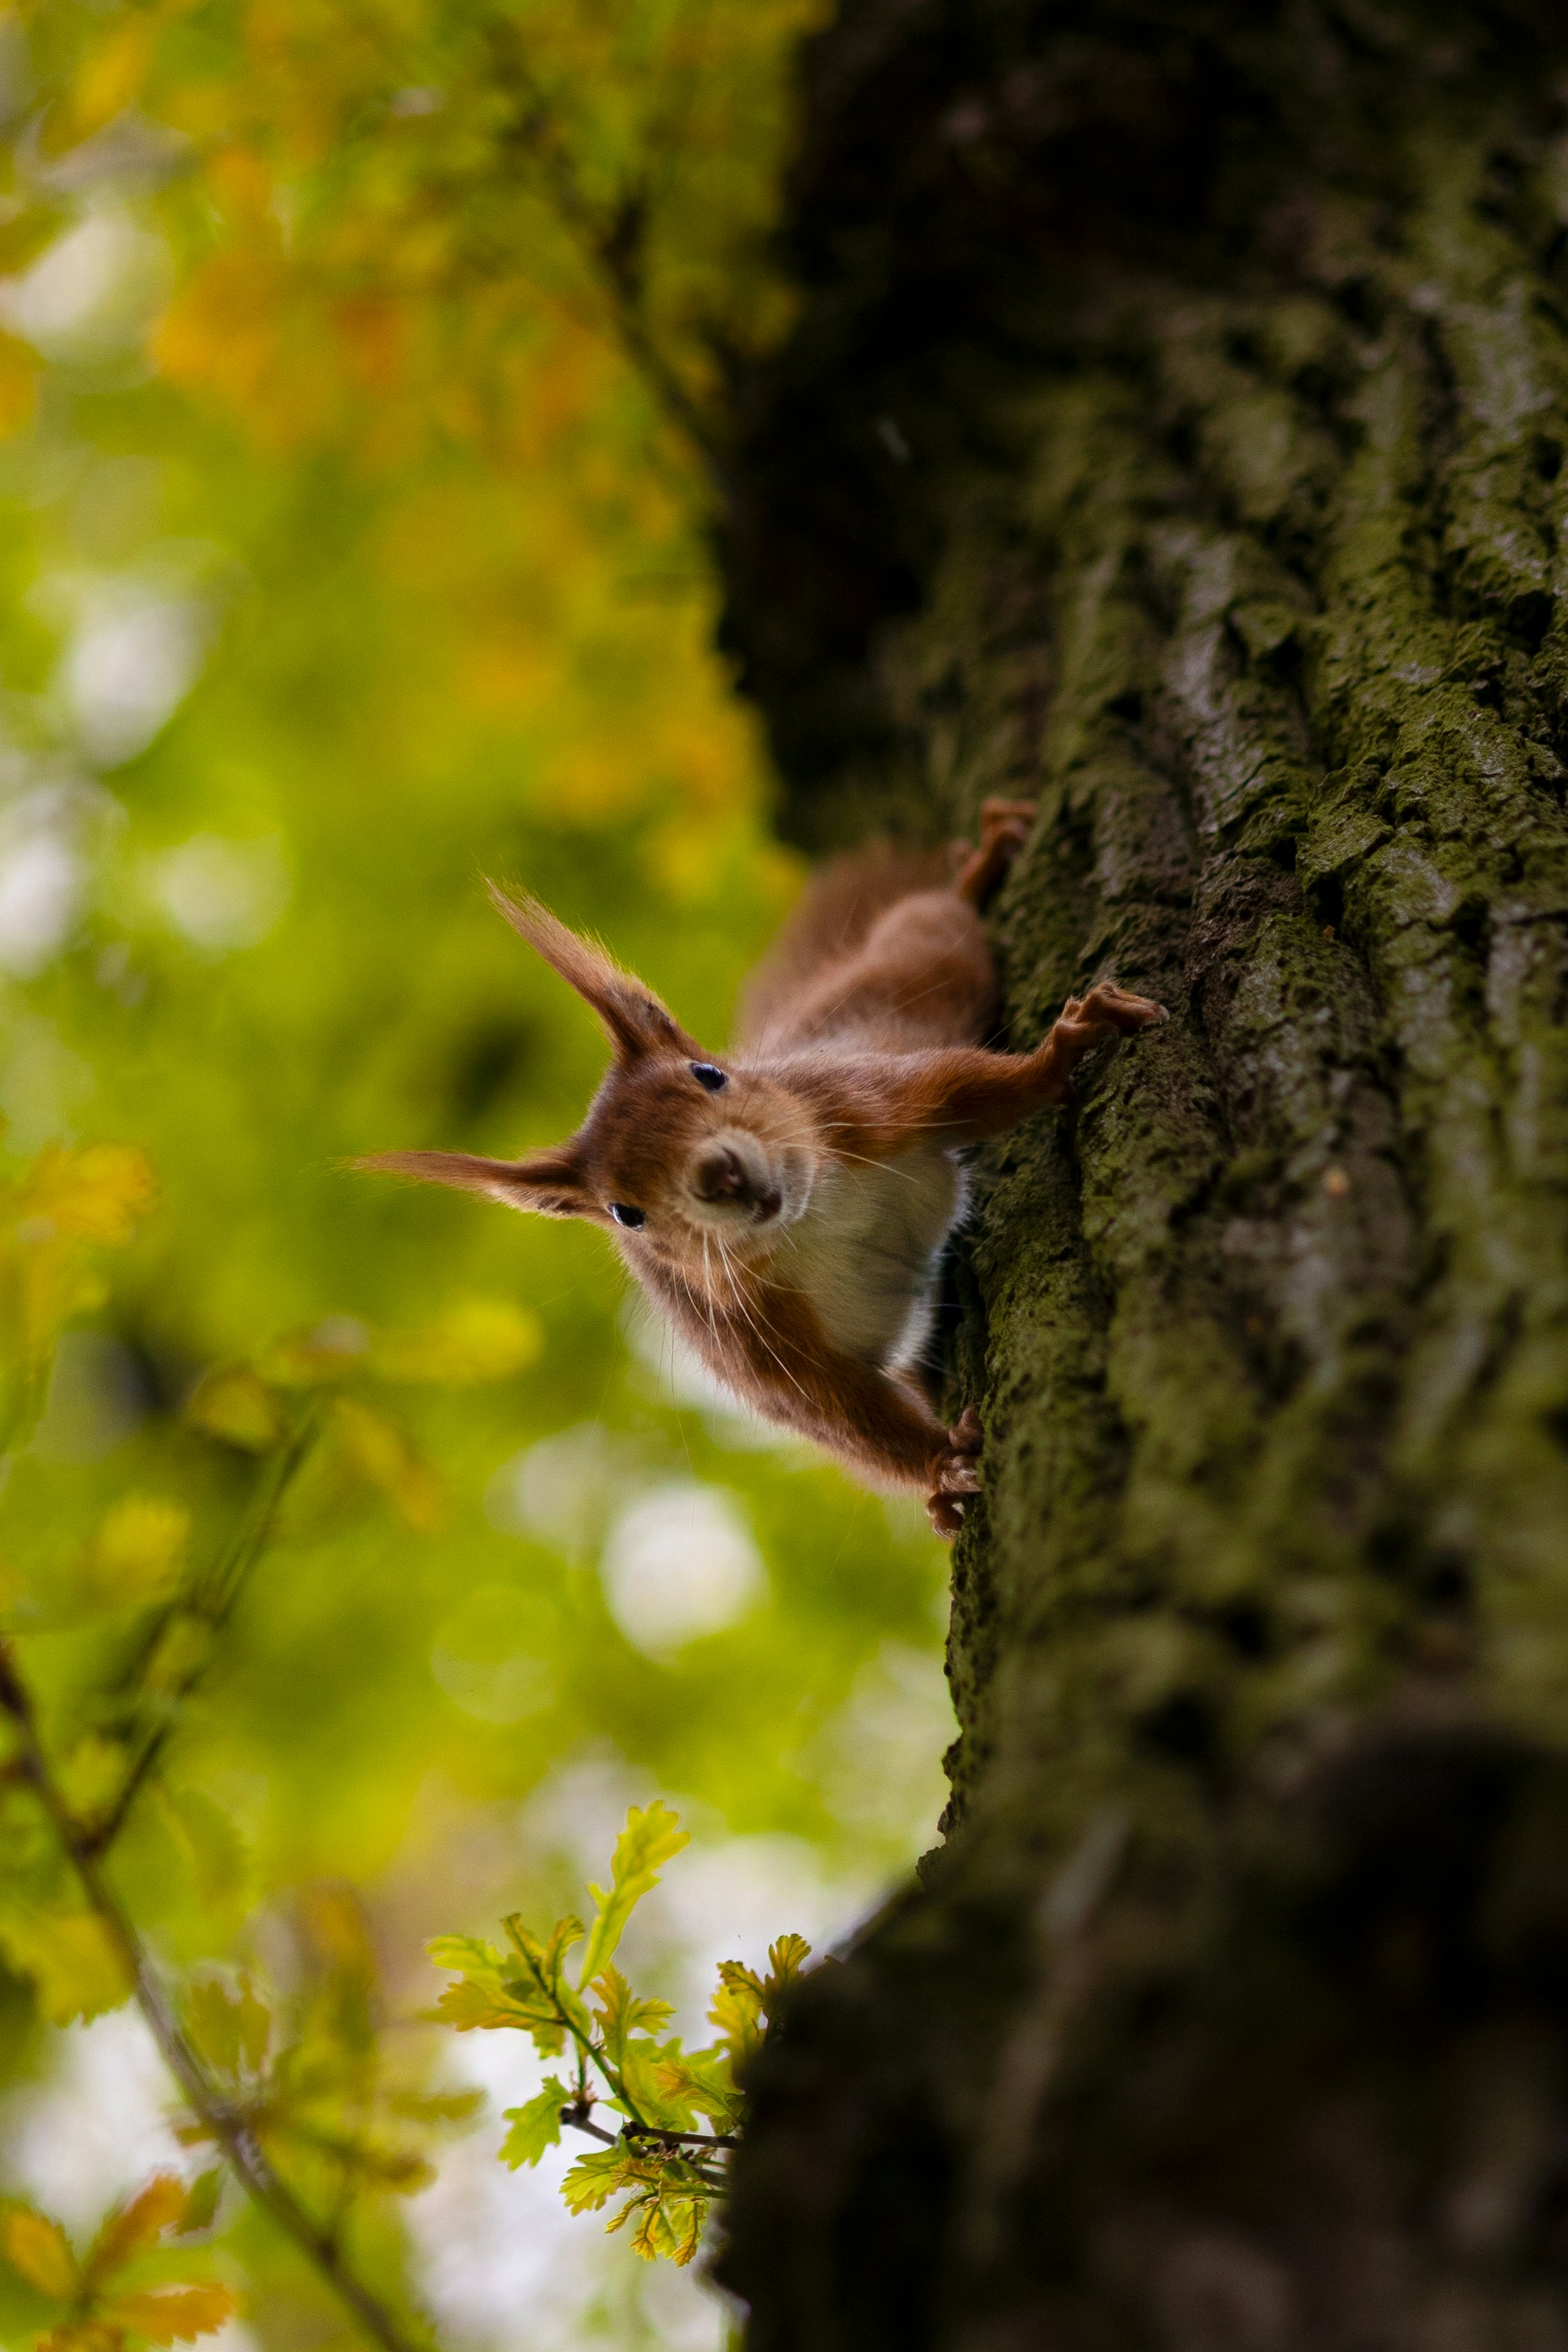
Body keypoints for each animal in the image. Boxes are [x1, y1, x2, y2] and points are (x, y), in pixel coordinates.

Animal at [359, 799, 1166, 1536]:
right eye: (626, 1213)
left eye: (710, 1075)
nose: (719, 1175)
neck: (816, 1216)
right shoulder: (751, 1339)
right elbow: (838, 1412)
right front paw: (942, 1469)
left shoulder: (861, 1102)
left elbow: (976, 1089)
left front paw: (1062, 1052)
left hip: (914, 973)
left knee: (935, 928)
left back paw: (979, 868)